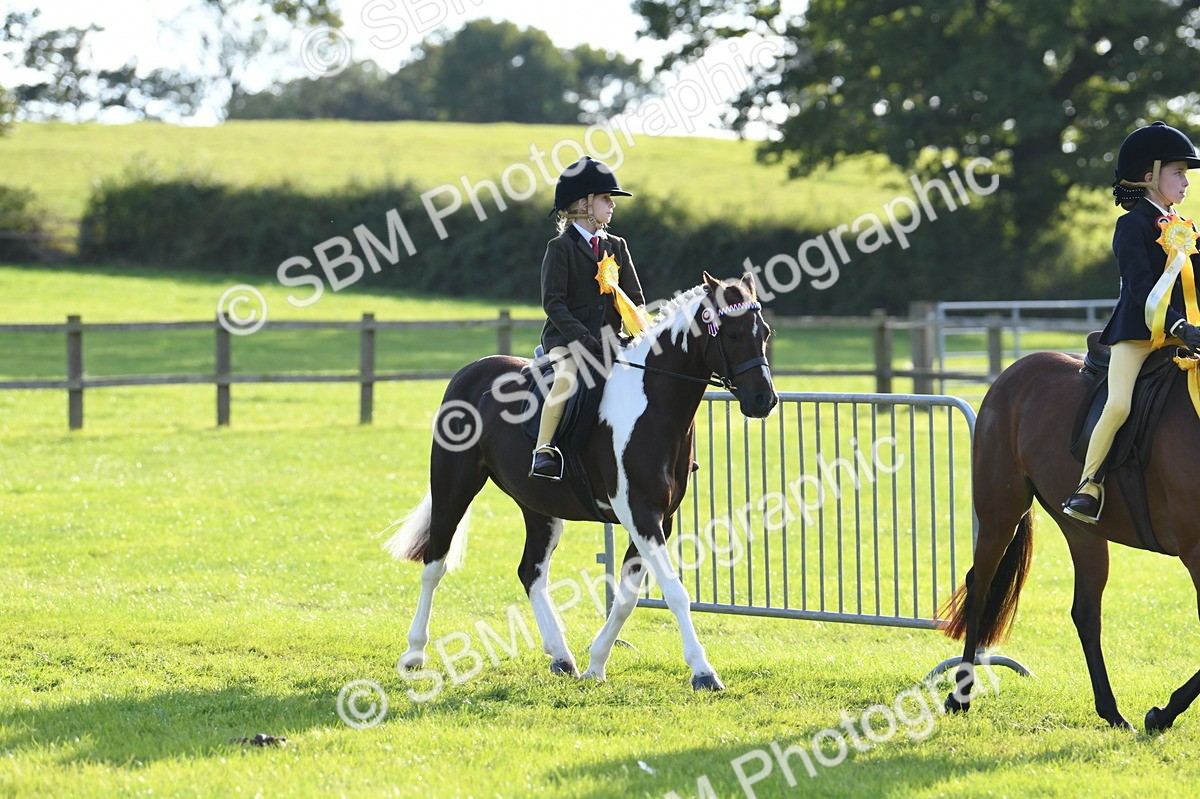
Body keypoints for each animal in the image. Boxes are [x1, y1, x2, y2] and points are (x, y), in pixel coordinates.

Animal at [386, 272, 778, 690]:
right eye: (733, 334)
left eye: (765, 332)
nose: (764, 400)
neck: (653, 404)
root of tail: (470, 372)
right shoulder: (641, 514)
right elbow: (674, 591)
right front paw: (703, 672)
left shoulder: (659, 520)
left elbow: (626, 598)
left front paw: (596, 664)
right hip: (453, 486)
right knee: (434, 563)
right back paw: (414, 653)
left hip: (539, 507)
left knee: (531, 572)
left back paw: (562, 657)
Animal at [939, 346, 1200, 731]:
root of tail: (1013, 372)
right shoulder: (1195, 552)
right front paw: (1161, 714)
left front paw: (1161, 714)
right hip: (1000, 514)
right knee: (979, 592)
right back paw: (960, 695)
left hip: (1083, 533)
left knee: (1086, 613)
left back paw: (1112, 712)